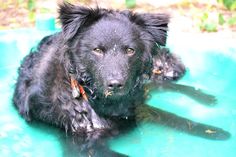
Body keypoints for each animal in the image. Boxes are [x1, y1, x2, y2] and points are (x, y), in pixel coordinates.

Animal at [13, 3, 230, 156]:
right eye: (97, 50)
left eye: (130, 50)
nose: (116, 84)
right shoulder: (82, 144)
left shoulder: (136, 109)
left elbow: (174, 117)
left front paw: (213, 131)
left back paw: (207, 98)